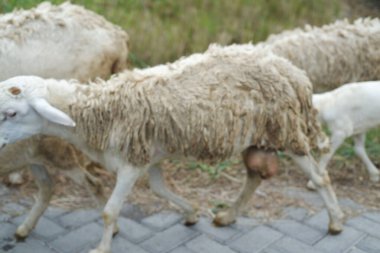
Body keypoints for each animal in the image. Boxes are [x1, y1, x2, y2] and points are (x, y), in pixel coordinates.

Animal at [0, 44, 344, 252]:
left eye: (12, 113)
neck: (98, 115)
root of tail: (291, 71)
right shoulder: (149, 159)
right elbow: (159, 190)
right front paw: (191, 213)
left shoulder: (131, 162)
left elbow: (110, 211)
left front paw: (101, 247)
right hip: (258, 136)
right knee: (254, 176)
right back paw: (228, 216)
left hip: (286, 132)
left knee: (320, 177)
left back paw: (336, 222)